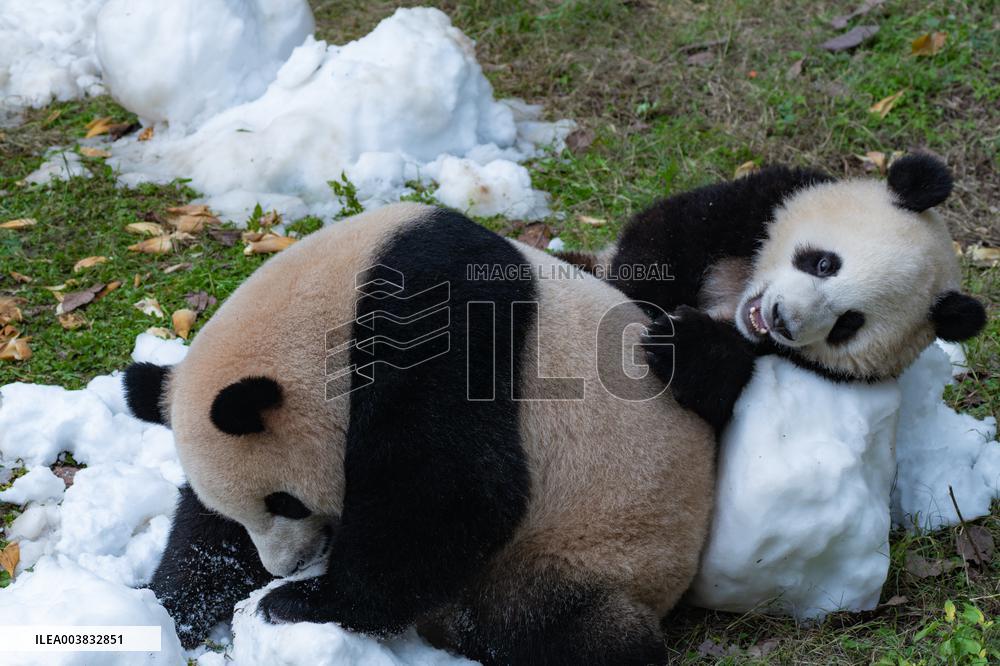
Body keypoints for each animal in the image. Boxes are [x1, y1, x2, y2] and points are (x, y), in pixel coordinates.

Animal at [123, 202, 717, 664]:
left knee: (555, 624)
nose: (281, 567)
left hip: (599, 542)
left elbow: (450, 487)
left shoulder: (436, 321)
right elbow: (204, 534)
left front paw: (299, 602)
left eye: (285, 502)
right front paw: (164, 609)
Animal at [561, 154, 987, 431]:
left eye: (847, 324)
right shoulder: (764, 198)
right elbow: (665, 233)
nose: (782, 319)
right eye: (824, 264)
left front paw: (683, 344)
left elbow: (722, 393)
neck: (737, 296)